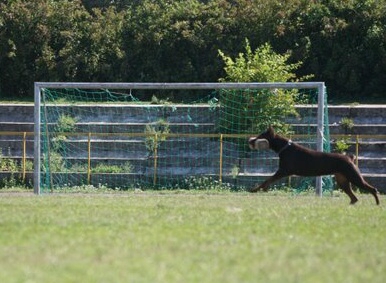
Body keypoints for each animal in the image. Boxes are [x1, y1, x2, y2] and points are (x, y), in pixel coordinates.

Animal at [247, 127, 380, 205]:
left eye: (260, 136)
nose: (250, 141)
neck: (283, 148)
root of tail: (350, 158)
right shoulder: (282, 171)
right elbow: (268, 180)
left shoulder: (283, 171)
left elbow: (267, 180)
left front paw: (255, 189)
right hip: (342, 179)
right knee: (354, 198)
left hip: (353, 176)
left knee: (372, 189)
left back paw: (377, 204)